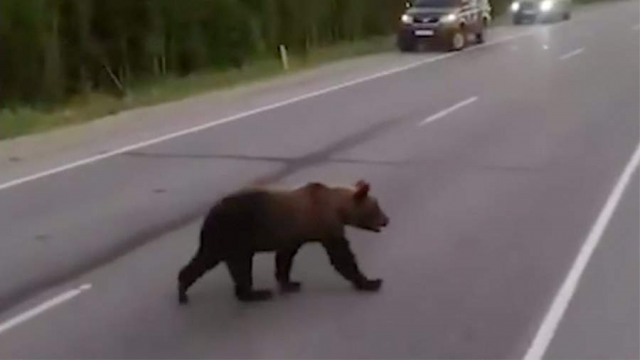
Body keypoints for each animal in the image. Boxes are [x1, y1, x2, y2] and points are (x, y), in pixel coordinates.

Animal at [178, 179, 392, 302]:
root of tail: (210, 213)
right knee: (239, 265)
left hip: (222, 239)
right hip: (235, 233)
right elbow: (341, 256)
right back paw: (256, 294)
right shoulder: (326, 225)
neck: (337, 207)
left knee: (205, 259)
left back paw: (183, 289)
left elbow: (284, 258)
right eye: (376, 207)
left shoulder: (293, 234)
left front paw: (290, 282)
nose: (387, 220)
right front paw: (371, 281)